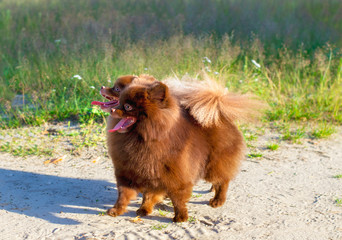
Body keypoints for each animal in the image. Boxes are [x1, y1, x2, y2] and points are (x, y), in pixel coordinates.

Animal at [93, 74, 264, 222]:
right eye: (120, 101)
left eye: (128, 106)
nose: (114, 109)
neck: (143, 137)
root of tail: (220, 115)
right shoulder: (134, 170)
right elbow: (128, 194)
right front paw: (127, 210)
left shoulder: (173, 174)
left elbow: (177, 197)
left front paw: (180, 217)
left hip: (213, 165)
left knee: (223, 181)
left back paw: (218, 200)